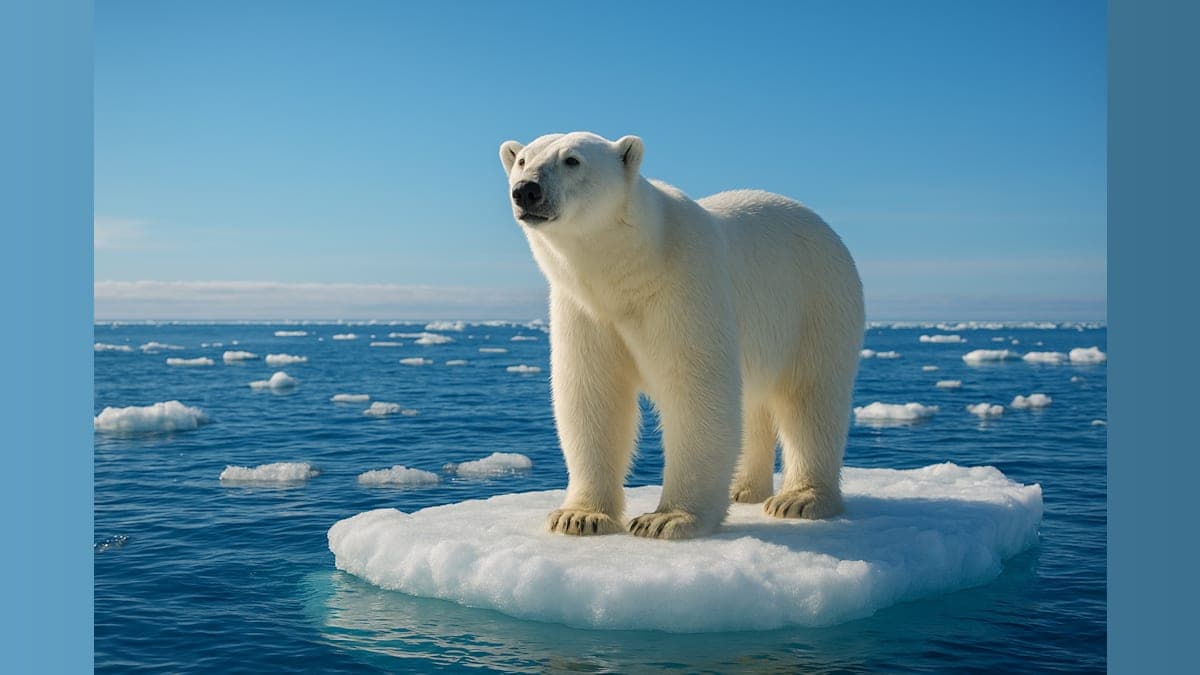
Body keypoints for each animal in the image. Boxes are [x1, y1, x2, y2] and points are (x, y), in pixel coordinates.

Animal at [498, 132, 864, 540]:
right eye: (523, 160)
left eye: (572, 160)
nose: (526, 190)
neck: (632, 267)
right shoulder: (584, 311)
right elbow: (593, 394)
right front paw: (578, 516)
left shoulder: (683, 286)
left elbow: (694, 390)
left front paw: (667, 518)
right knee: (755, 404)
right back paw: (742, 489)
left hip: (817, 301)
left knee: (810, 397)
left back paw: (799, 499)